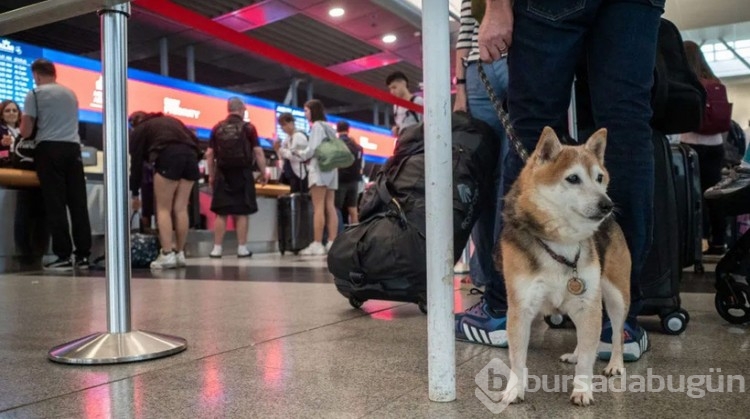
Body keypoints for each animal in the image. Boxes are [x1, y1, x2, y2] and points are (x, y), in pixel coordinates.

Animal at [502, 127, 632, 406]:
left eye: (599, 177)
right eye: (573, 178)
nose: (607, 205)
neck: (561, 242)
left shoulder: (587, 303)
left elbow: (587, 360)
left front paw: (582, 389)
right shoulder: (521, 308)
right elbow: (517, 357)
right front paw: (514, 389)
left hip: (616, 295)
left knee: (616, 334)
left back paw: (615, 364)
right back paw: (575, 353)